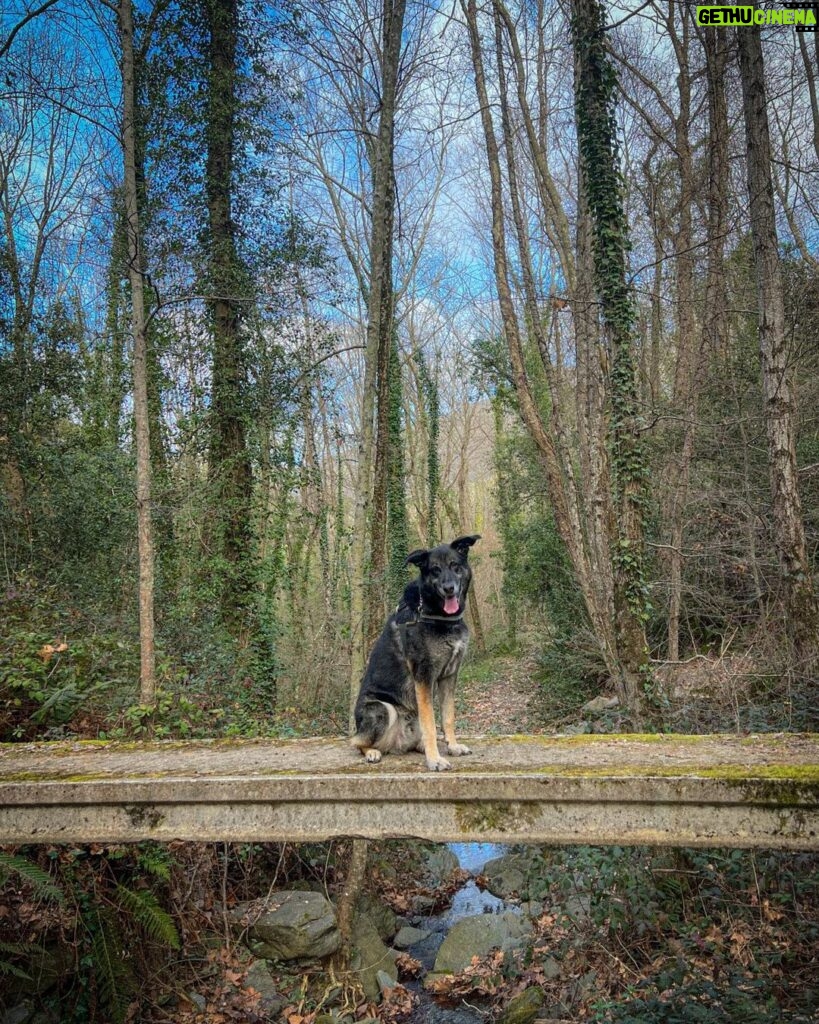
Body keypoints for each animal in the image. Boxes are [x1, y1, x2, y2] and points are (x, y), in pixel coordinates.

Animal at [350, 536, 479, 770]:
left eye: (455, 566)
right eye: (435, 570)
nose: (449, 588)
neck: (435, 614)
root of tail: (396, 744)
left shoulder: (449, 676)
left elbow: (447, 717)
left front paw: (453, 746)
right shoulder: (423, 676)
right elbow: (430, 723)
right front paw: (435, 760)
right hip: (382, 708)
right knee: (356, 741)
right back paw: (372, 752)